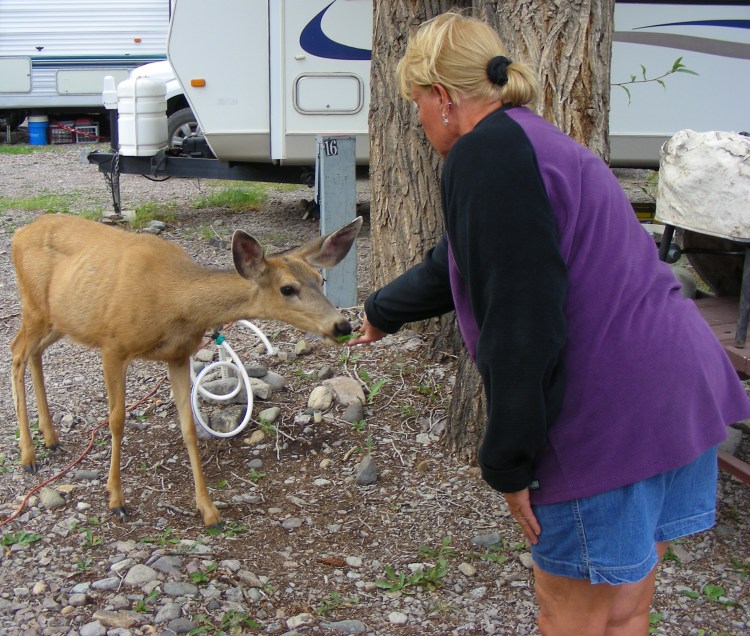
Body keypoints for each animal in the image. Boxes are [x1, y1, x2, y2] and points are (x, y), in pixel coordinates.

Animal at [10, 213, 363, 528]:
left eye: (321, 279)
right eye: (287, 289)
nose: (342, 325)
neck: (173, 301)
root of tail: (18, 234)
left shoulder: (178, 356)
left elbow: (190, 428)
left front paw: (209, 511)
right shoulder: (113, 346)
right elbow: (117, 421)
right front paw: (116, 500)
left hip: (61, 320)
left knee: (35, 353)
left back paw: (50, 437)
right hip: (35, 307)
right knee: (17, 352)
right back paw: (28, 456)